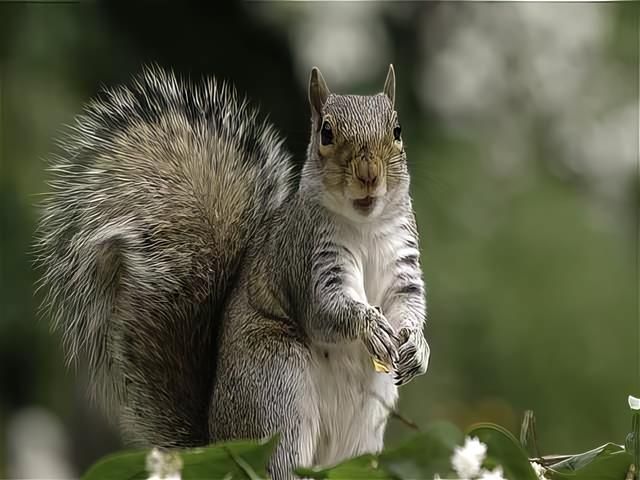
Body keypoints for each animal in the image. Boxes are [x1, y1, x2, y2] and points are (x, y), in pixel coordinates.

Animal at [36, 64, 430, 479]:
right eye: (326, 132)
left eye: (397, 130)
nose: (369, 175)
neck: (365, 225)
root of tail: (218, 445)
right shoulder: (306, 258)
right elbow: (325, 310)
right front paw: (370, 325)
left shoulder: (402, 264)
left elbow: (408, 304)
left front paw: (417, 346)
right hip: (275, 391)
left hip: (363, 421)